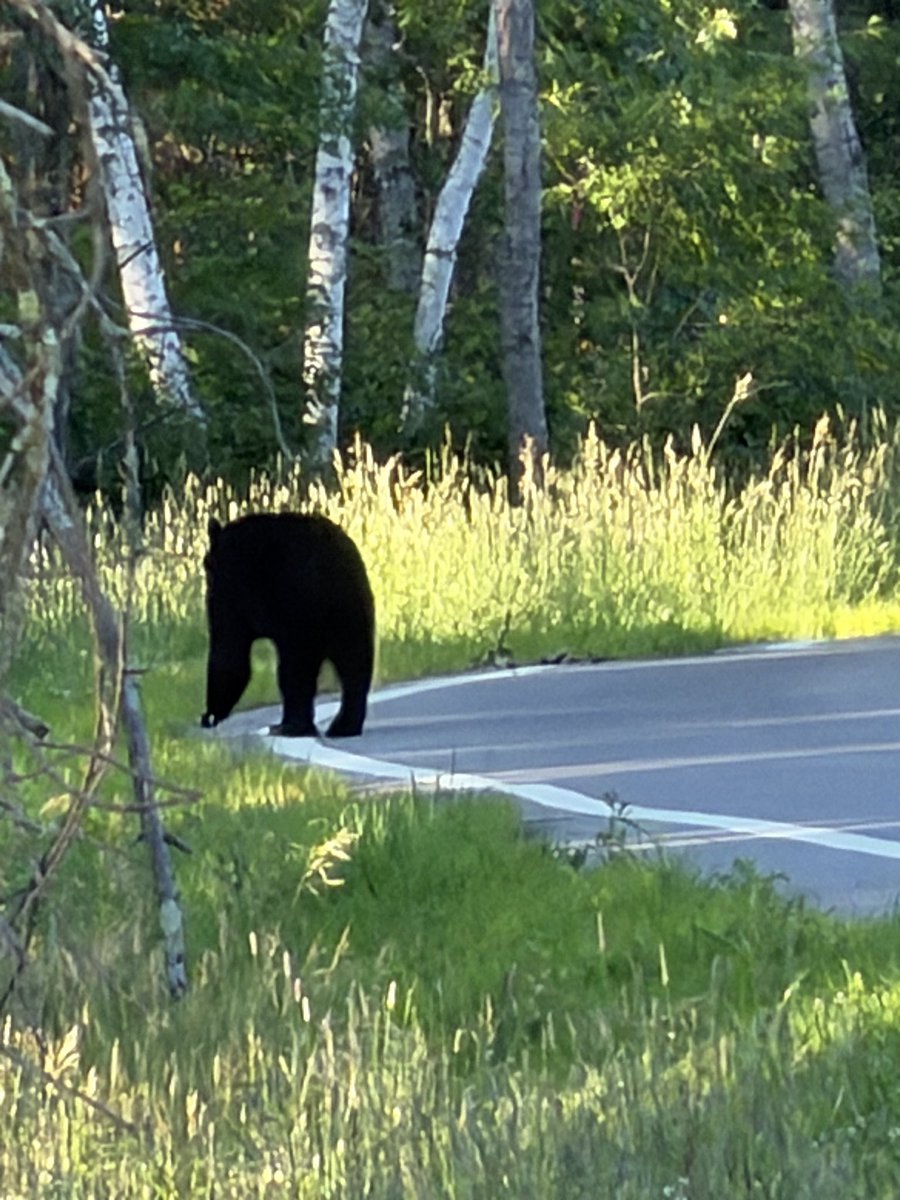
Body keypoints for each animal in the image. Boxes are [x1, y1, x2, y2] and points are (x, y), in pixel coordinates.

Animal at [201, 512, 375, 738]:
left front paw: (210, 714)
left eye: (207, 565)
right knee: (354, 662)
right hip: (351, 609)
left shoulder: (231, 586)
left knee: (295, 668)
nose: (206, 575)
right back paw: (343, 725)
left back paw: (289, 726)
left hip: (300, 610)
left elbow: (228, 651)